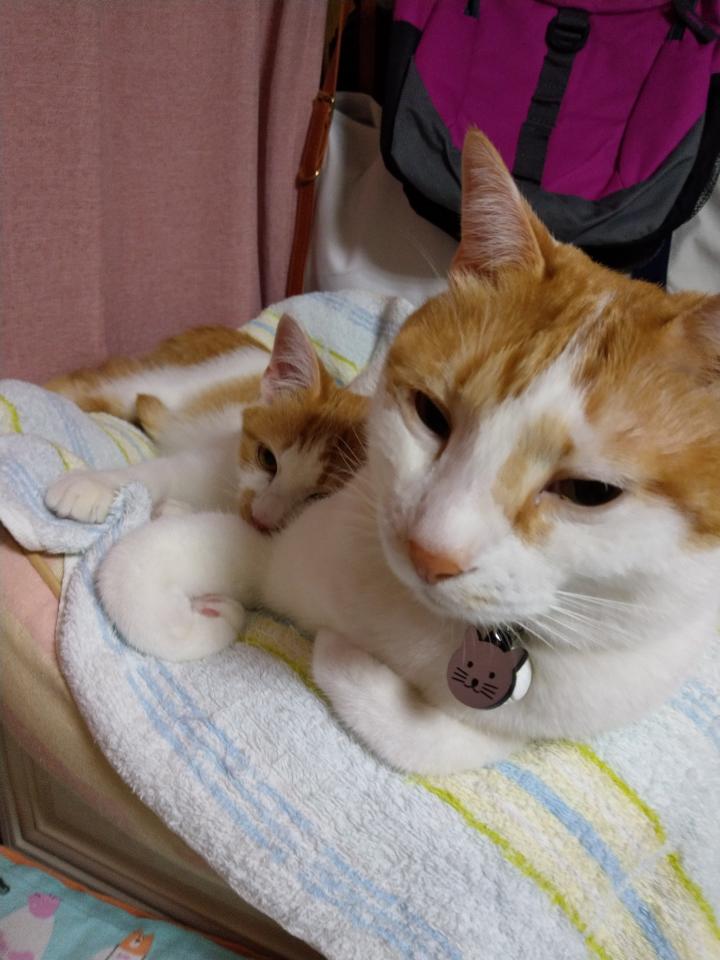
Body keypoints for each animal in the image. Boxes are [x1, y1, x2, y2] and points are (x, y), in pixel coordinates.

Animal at [45, 314, 367, 532]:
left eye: (319, 498)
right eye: (267, 458)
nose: (260, 518)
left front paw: (178, 510)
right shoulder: (212, 456)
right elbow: (162, 471)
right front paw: (95, 484)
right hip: (165, 381)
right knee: (90, 384)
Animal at [96, 130, 720, 775]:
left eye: (590, 492)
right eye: (431, 414)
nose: (429, 554)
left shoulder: (540, 718)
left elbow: (429, 744)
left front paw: (341, 655)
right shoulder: (283, 541)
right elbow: (136, 570)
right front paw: (210, 615)